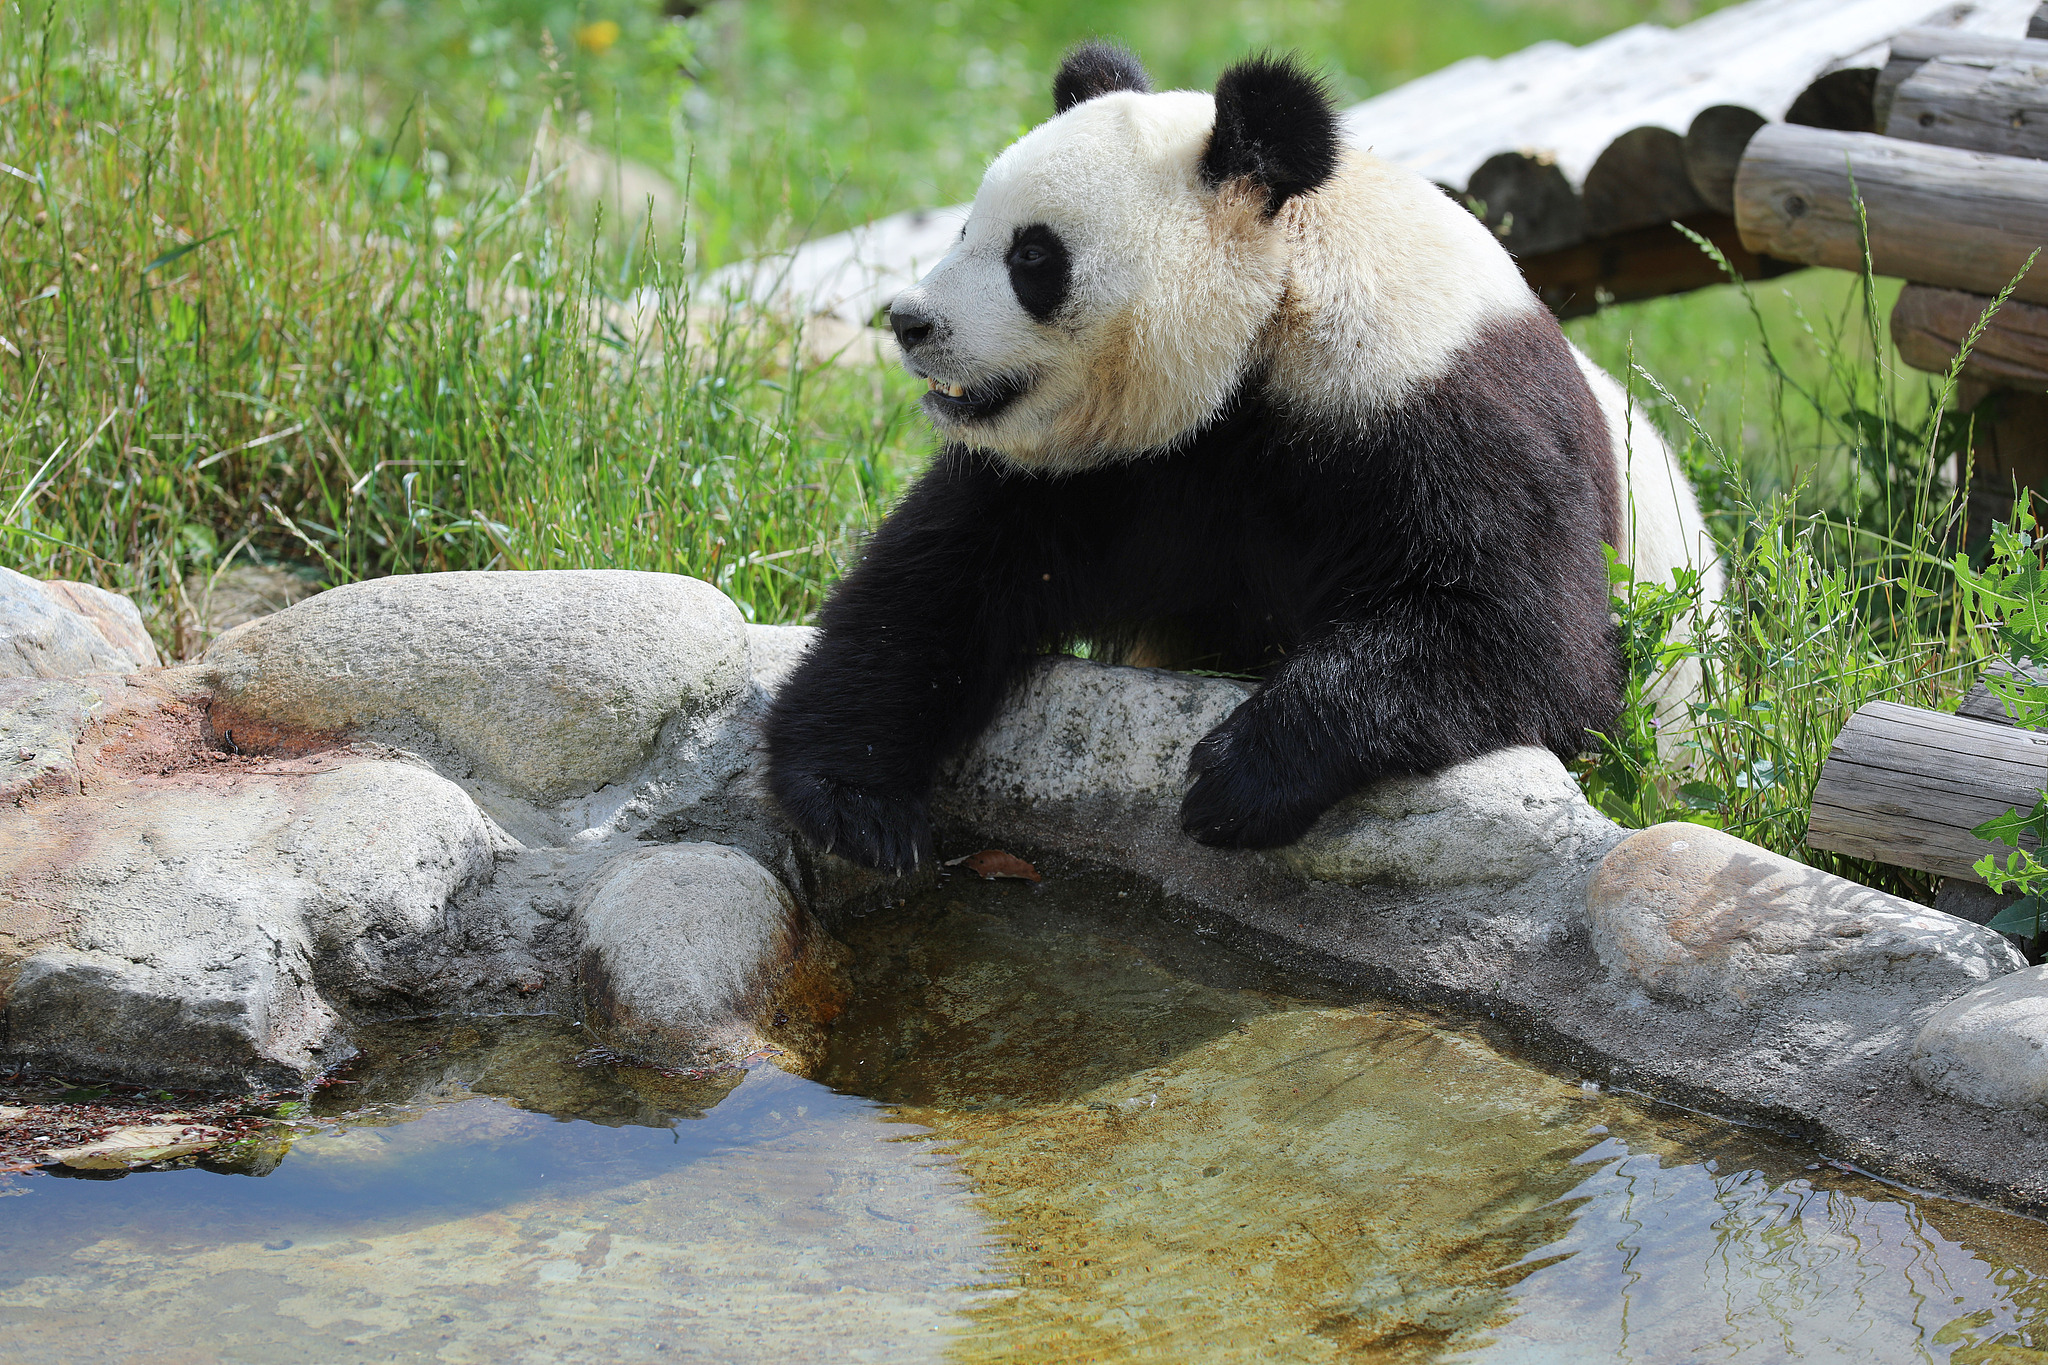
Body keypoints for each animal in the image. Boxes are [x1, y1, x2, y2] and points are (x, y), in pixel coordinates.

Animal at [764, 43, 1719, 875]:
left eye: (1032, 255)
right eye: (966, 226)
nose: (910, 320)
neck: (1273, 323)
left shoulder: (1439, 414)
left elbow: (1527, 639)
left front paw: (1240, 777)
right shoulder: (1101, 468)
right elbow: (940, 585)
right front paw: (856, 804)